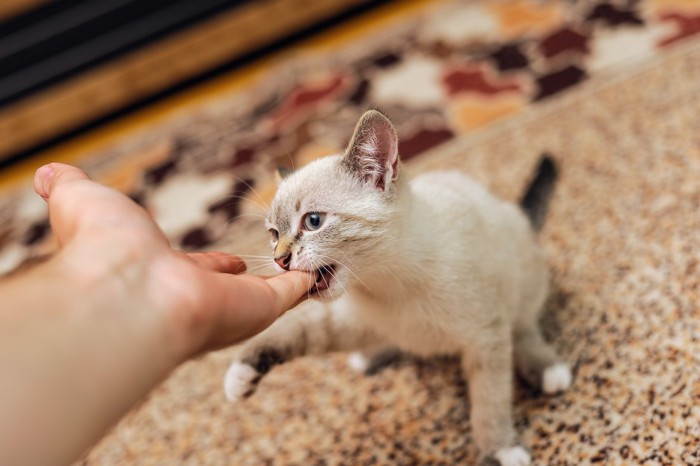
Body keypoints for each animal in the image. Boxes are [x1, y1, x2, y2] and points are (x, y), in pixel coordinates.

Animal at [223, 110, 568, 466]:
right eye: (274, 235)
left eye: (313, 221)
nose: (279, 260)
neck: (385, 281)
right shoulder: (350, 318)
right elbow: (292, 333)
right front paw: (241, 373)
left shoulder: (486, 335)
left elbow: (490, 399)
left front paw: (499, 449)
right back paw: (370, 356)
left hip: (521, 282)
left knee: (523, 327)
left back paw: (548, 370)